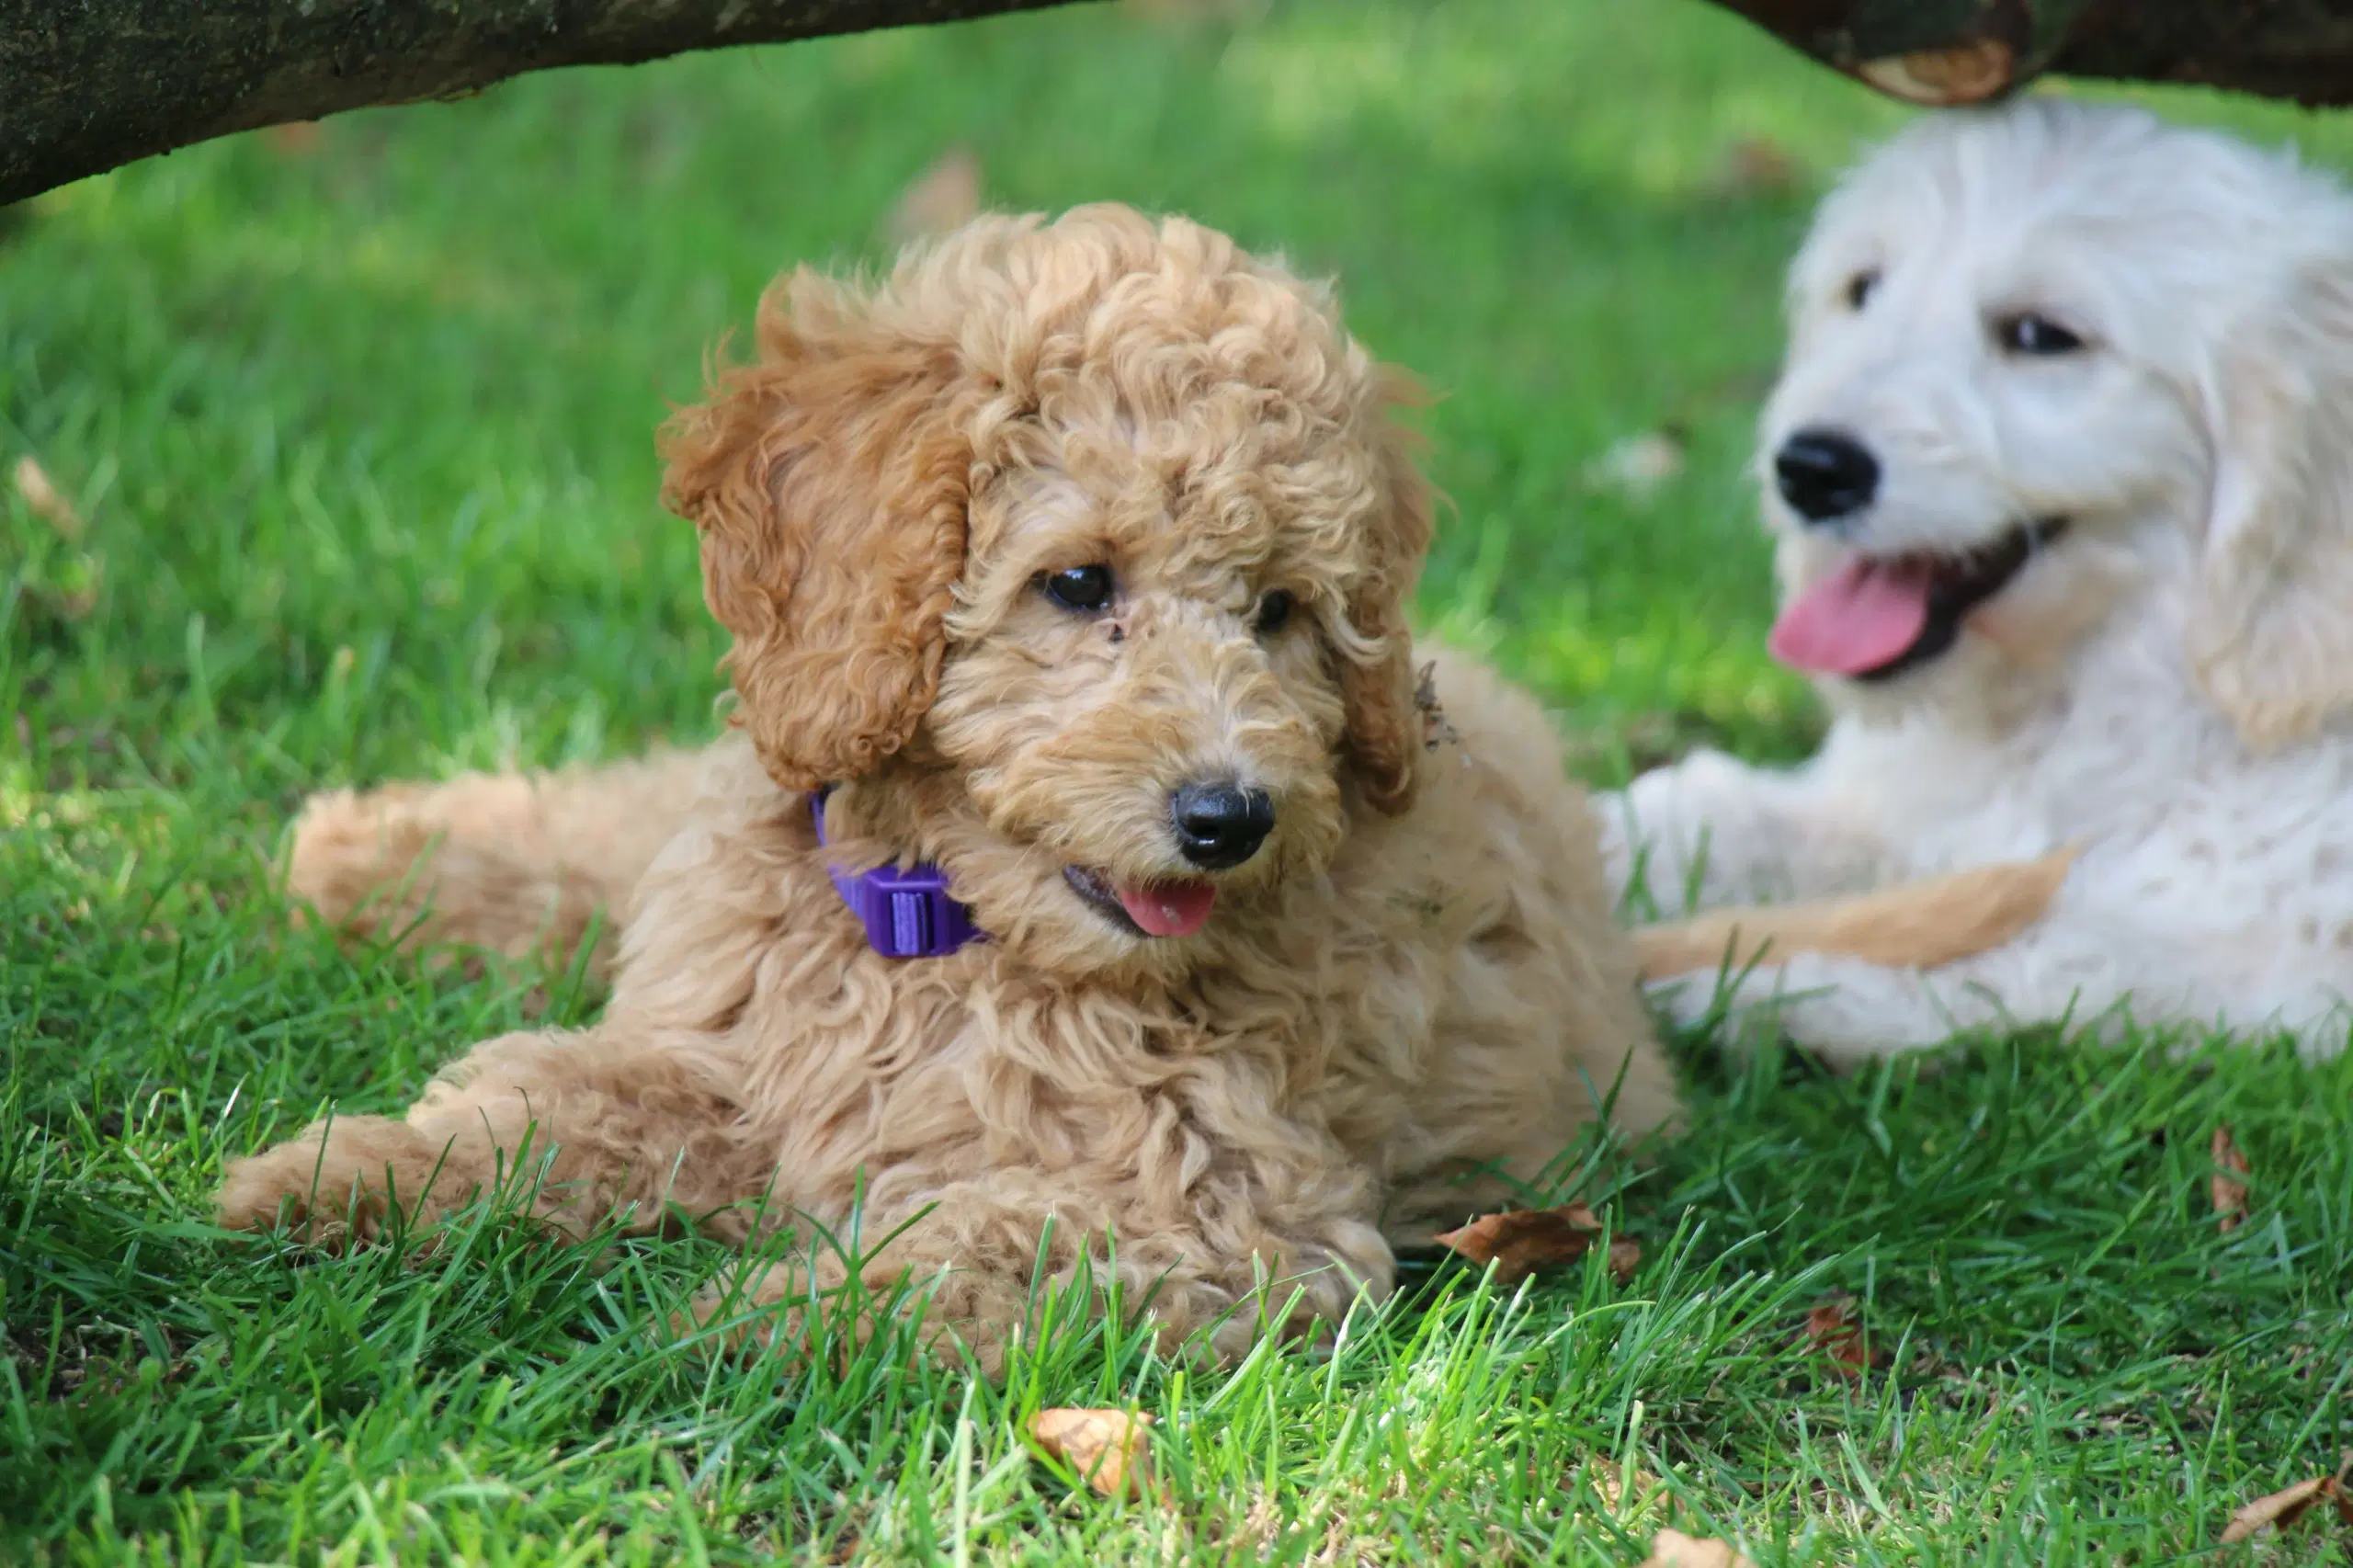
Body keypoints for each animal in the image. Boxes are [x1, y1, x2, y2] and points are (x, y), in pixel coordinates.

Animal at [221, 207, 1684, 1365]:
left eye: (1279, 610)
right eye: (1078, 580)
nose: (1231, 819)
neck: (940, 924)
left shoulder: (1232, 1218)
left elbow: (985, 1251)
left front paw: (735, 1324)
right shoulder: (725, 1047)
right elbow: (563, 1097)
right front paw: (347, 1176)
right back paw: (365, 854)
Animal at [1609, 97, 2353, 1063]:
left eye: (2041, 336)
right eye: (1863, 288)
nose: (1809, 470)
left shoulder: (2279, 949)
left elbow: (2055, 950)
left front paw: (1781, 991)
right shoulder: (1880, 810)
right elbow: (1720, 818)